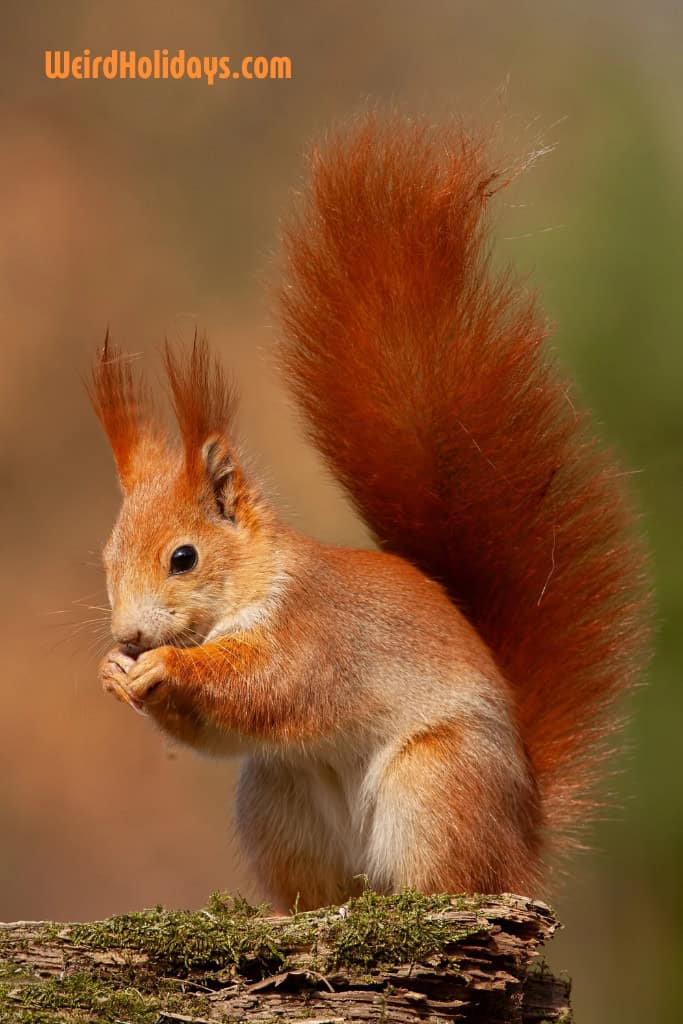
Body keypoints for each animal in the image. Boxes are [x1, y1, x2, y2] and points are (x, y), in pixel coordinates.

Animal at [89, 114, 651, 913]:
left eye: (183, 557)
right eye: (107, 560)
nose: (130, 635)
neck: (256, 584)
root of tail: (524, 833)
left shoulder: (314, 636)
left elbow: (266, 685)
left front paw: (164, 664)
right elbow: (217, 732)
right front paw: (116, 671)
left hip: (436, 785)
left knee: (454, 876)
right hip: (277, 797)